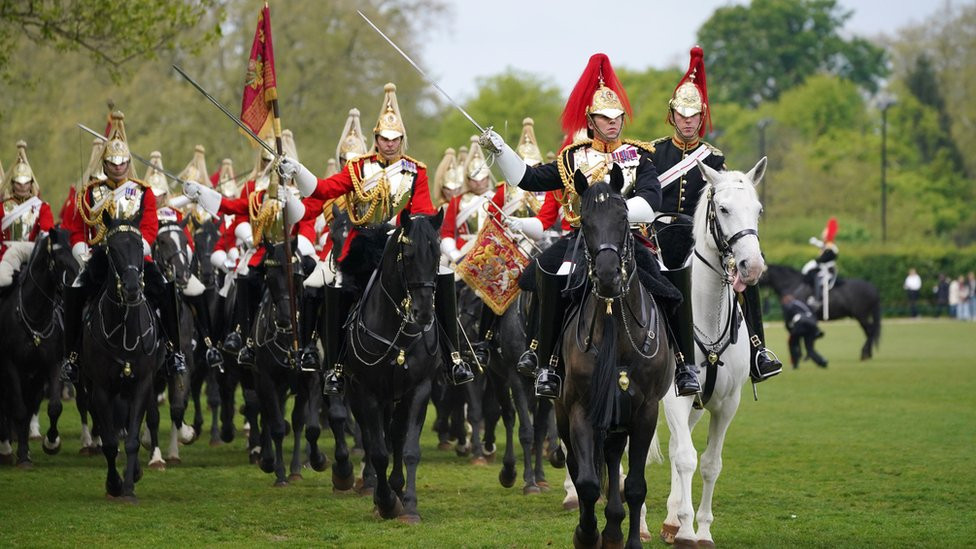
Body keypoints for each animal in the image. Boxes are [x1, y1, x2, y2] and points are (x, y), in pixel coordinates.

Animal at [0, 229, 77, 464]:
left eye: (73, 255)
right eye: (59, 260)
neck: (35, 320)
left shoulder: (49, 366)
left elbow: (52, 407)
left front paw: (49, 443)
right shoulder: (11, 366)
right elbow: (19, 409)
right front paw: (17, 453)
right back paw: (6, 446)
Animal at [346, 211, 444, 524]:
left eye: (437, 255)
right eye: (408, 256)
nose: (423, 314)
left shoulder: (419, 389)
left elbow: (409, 447)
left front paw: (409, 504)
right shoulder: (367, 392)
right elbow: (377, 450)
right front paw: (386, 501)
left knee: (397, 436)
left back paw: (397, 488)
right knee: (370, 436)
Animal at [660, 156, 768, 544]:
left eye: (758, 210)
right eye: (722, 208)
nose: (753, 266)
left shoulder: (726, 403)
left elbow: (708, 463)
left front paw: (700, 530)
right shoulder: (672, 396)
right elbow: (687, 459)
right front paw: (687, 531)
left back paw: (670, 519)